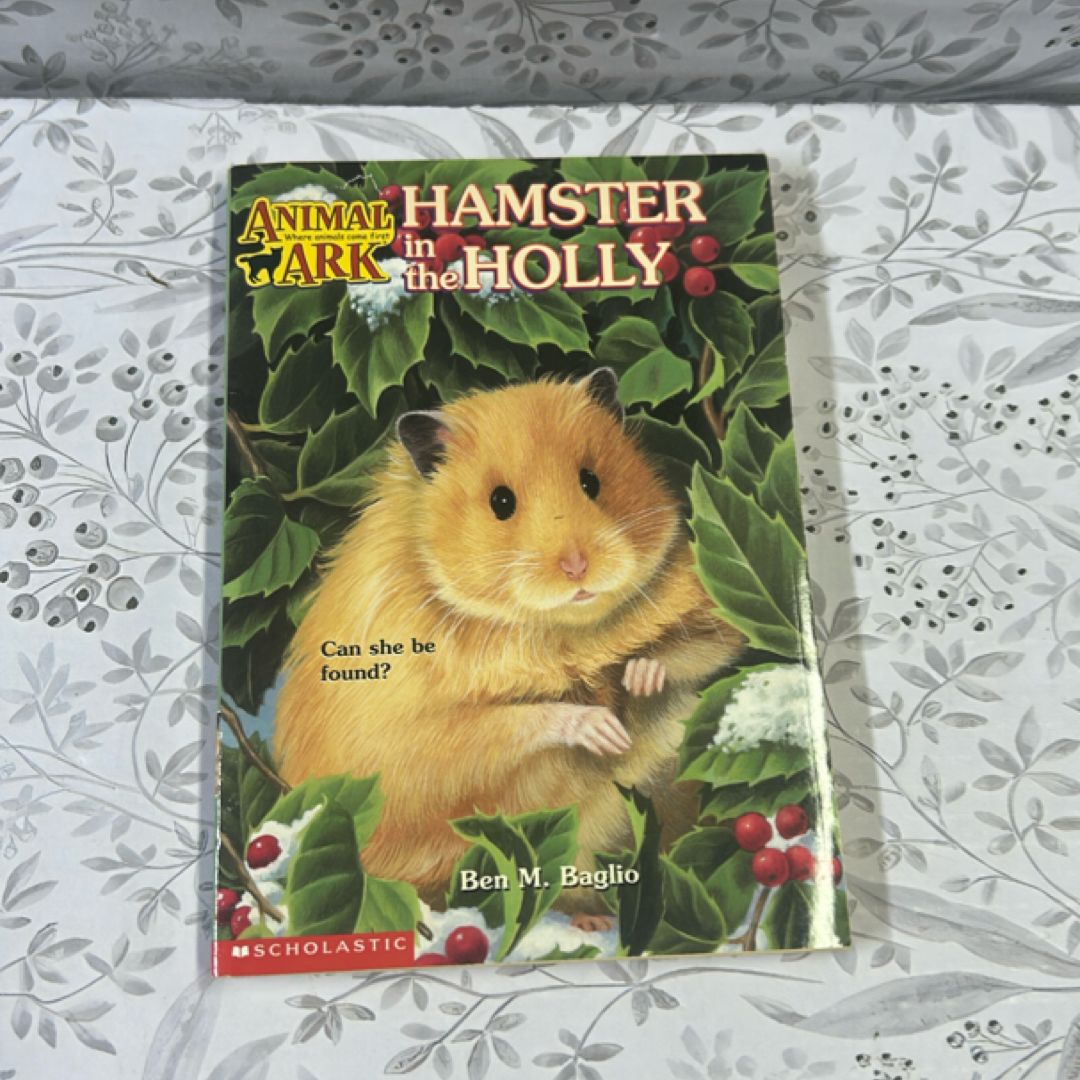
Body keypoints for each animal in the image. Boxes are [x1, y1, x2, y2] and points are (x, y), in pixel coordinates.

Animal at [274, 369, 742, 929]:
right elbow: (509, 723)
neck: (555, 628)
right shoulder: (419, 740)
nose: (578, 567)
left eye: (591, 481)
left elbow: (704, 645)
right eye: (500, 502)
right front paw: (604, 731)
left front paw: (637, 678)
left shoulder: (702, 608)